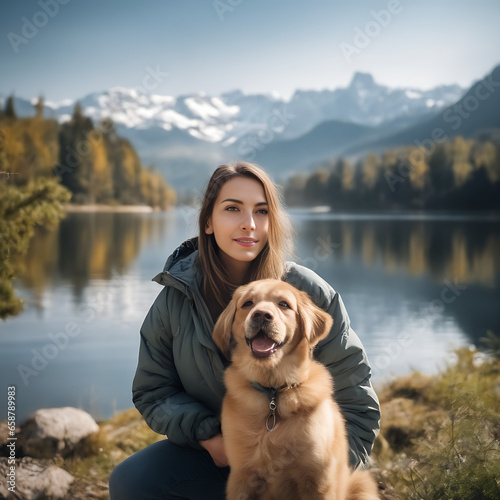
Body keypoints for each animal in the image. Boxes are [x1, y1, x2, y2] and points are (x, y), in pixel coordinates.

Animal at [211, 280, 378, 498]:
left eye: (283, 304)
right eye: (247, 303)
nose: (261, 315)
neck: (274, 393)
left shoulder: (318, 479)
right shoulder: (242, 476)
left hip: (362, 484)